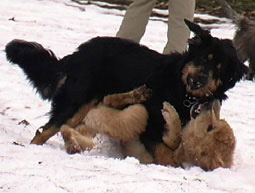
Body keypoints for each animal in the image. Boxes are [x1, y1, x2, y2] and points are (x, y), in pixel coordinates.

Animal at [5, 20, 245, 155]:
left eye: (220, 69)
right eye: (204, 59)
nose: (201, 79)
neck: (184, 91)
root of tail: (78, 53)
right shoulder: (151, 126)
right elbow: (164, 150)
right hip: (75, 104)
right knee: (45, 130)